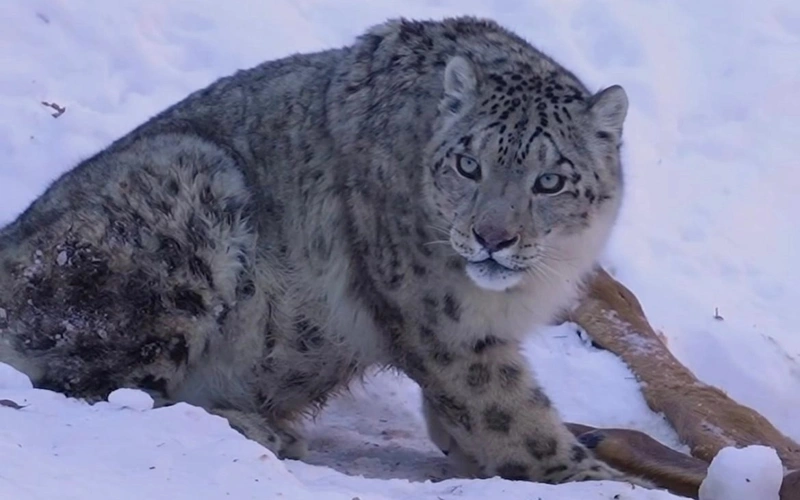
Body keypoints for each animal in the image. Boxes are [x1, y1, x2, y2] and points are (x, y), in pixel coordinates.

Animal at [0, 15, 647, 487]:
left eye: (550, 181)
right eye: (468, 164)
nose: (493, 237)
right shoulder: (447, 326)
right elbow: (511, 414)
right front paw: (603, 479)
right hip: (186, 201)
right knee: (99, 387)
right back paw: (260, 431)